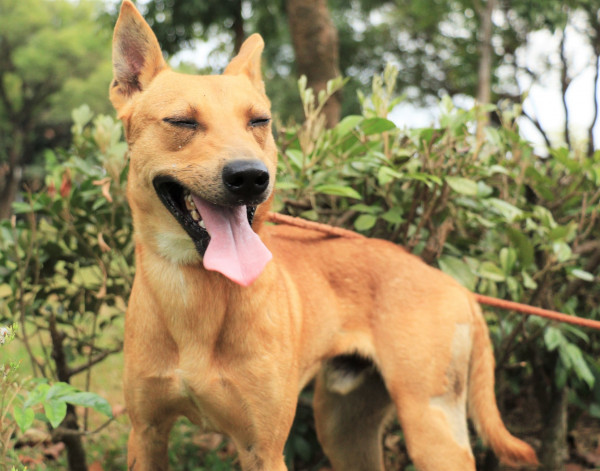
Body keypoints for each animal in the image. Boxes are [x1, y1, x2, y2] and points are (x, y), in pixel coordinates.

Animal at [111, 1, 540, 470]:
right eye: (182, 122)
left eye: (259, 121)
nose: (250, 177)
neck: (194, 293)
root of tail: (454, 285)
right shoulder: (145, 434)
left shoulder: (263, 450)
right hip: (345, 431)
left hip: (431, 430)